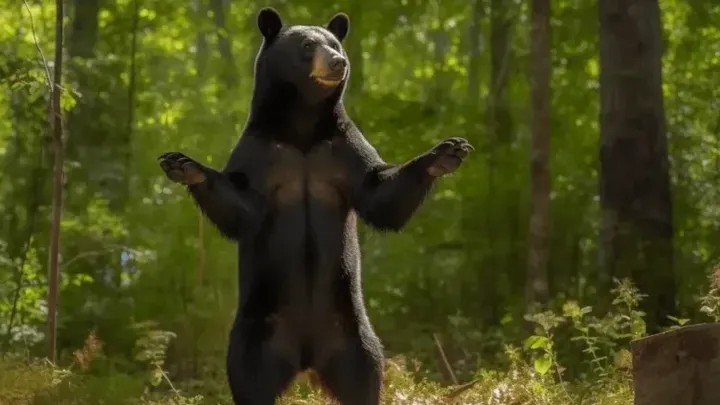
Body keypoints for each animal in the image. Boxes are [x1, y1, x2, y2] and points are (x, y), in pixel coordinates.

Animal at [158, 8, 473, 405]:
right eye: (308, 45)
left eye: (335, 43)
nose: (338, 62)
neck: (303, 128)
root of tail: (306, 357)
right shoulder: (261, 153)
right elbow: (241, 207)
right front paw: (183, 164)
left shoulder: (342, 149)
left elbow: (379, 195)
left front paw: (447, 151)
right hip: (258, 333)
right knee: (250, 379)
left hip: (353, 336)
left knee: (364, 378)